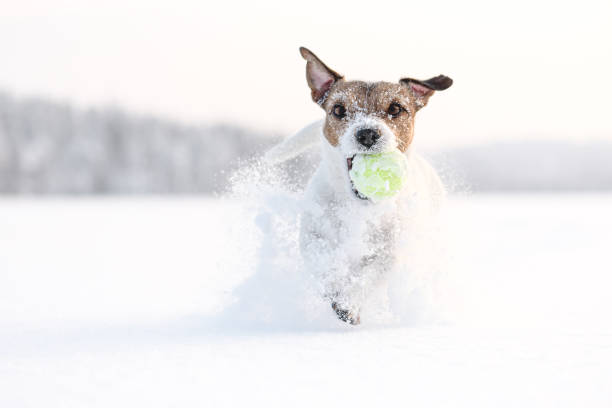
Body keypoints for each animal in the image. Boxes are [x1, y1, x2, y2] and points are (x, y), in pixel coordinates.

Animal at [262, 47, 450, 326]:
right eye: (339, 109)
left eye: (396, 108)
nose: (367, 133)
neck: (360, 209)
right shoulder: (313, 236)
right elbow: (323, 262)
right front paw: (337, 290)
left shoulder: (390, 252)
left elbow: (369, 275)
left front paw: (348, 302)